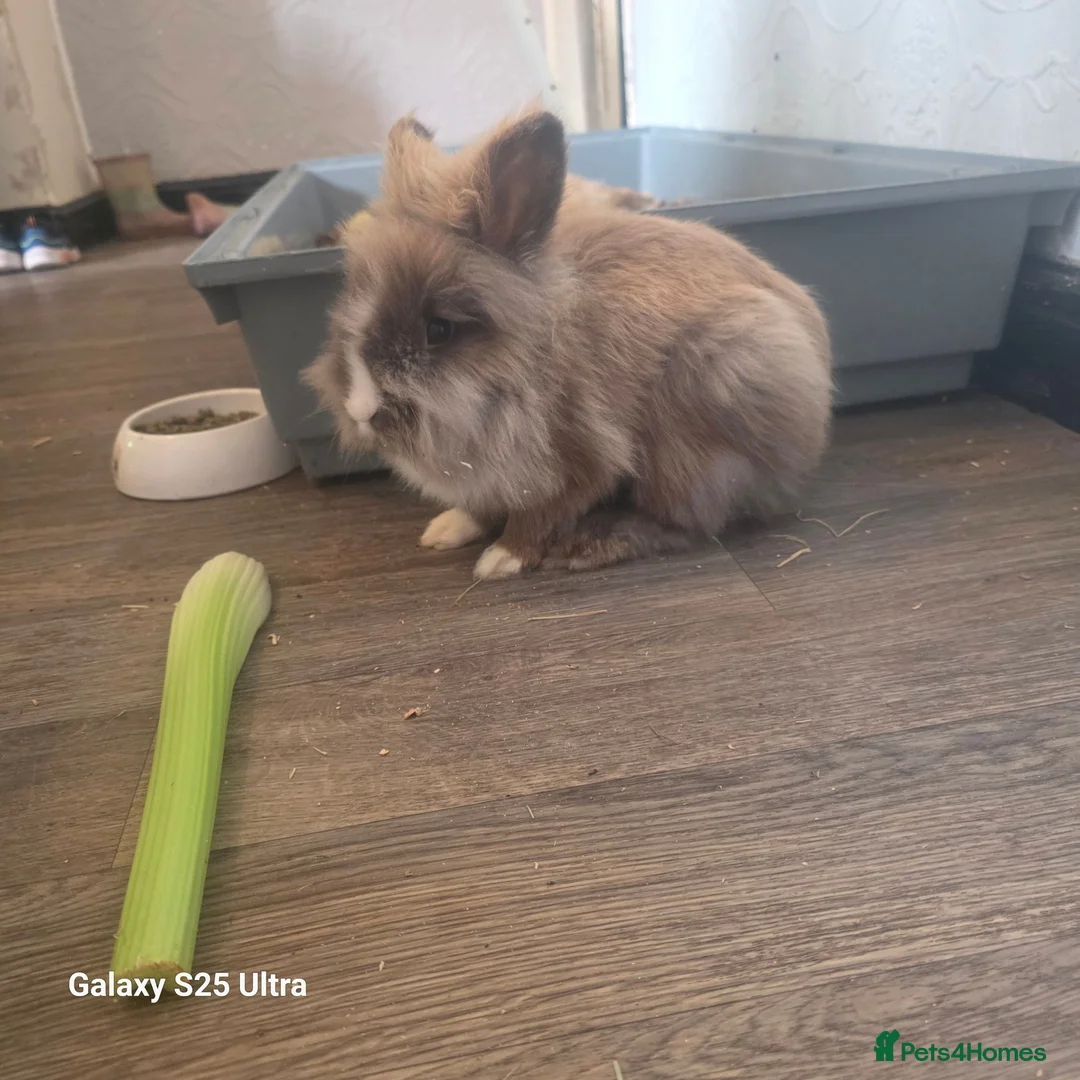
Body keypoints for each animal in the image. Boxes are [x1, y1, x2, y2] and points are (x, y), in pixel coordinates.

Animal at [305, 110, 833, 580]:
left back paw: (591, 545)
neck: (521, 369)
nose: (360, 410)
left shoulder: (581, 458)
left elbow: (540, 513)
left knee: (689, 522)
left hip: (700, 421)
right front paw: (446, 529)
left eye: (439, 330)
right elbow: (480, 504)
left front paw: (502, 559)